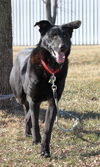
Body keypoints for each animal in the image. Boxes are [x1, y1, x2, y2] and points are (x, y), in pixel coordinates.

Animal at [9, 20, 81, 157]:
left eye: (65, 36)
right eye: (53, 35)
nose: (63, 47)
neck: (50, 69)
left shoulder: (53, 102)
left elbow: (48, 128)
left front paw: (45, 150)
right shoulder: (34, 99)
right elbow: (36, 123)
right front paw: (36, 140)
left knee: (28, 112)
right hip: (19, 95)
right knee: (26, 108)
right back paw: (27, 131)